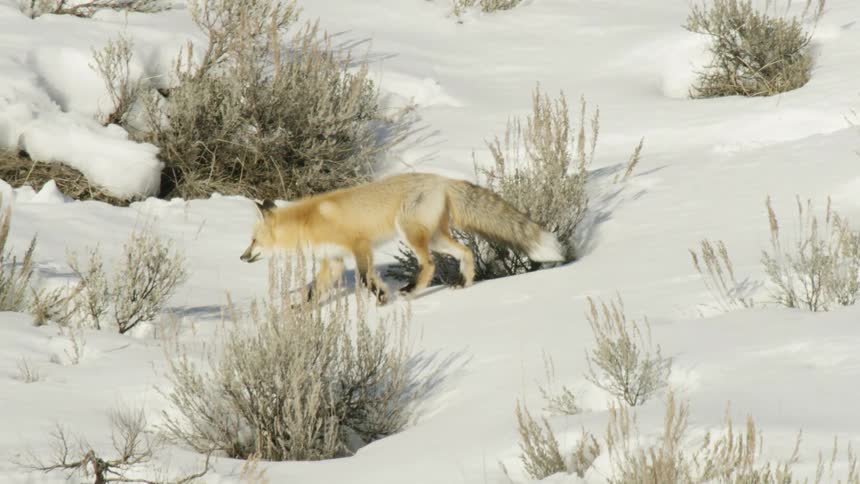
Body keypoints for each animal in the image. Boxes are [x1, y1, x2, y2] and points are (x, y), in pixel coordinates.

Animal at [240, 172, 564, 304]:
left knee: (430, 264)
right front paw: (298, 312)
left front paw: (383, 298)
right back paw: (464, 282)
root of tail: (441, 179)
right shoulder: (333, 260)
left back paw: (411, 289)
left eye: (253, 240)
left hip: (410, 233)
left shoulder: (359, 245)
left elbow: (366, 279)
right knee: (465, 252)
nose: (242, 257)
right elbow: (312, 292)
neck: (308, 221)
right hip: (435, 237)